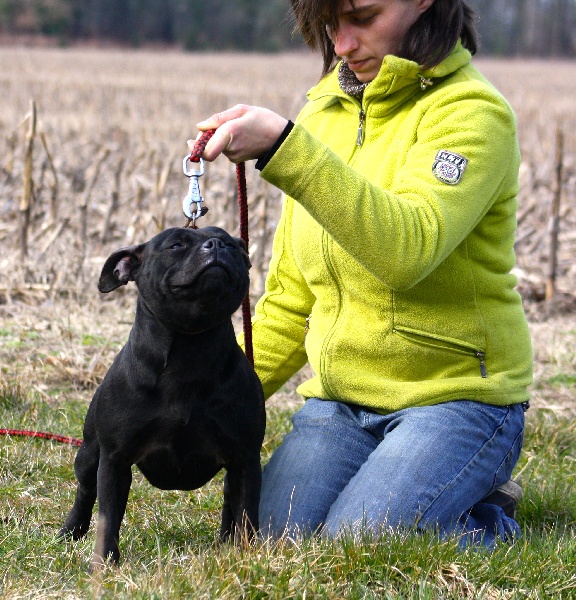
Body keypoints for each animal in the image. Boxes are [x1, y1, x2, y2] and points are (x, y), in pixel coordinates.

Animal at [58, 225, 266, 568]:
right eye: (176, 245)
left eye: (233, 245)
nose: (217, 245)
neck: (188, 350)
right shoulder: (114, 459)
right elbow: (108, 514)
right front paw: (104, 563)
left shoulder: (245, 458)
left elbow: (246, 512)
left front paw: (247, 556)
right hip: (89, 453)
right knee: (85, 491)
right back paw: (70, 532)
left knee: (230, 502)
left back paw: (226, 543)